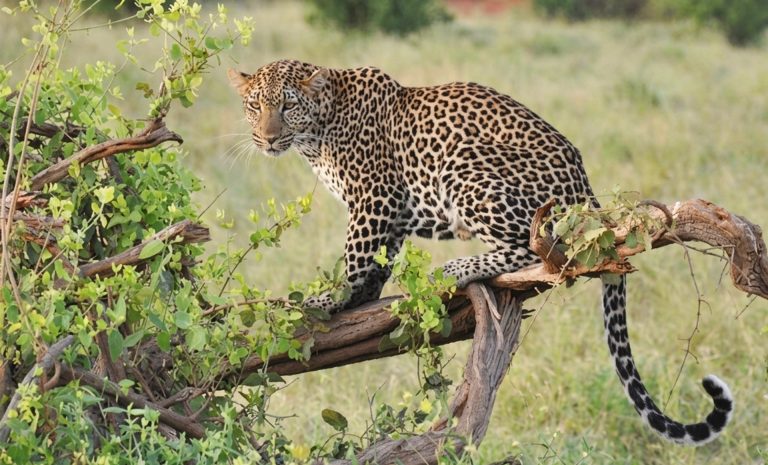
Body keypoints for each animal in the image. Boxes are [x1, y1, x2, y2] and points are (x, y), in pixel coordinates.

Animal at [227, 59, 733, 445]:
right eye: (254, 106)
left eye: (287, 105)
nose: (266, 138)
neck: (320, 129)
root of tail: (585, 188)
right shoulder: (391, 213)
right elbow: (378, 262)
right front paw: (362, 301)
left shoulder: (374, 198)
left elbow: (356, 257)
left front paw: (327, 299)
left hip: (467, 165)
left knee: (539, 252)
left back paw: (458, 267)